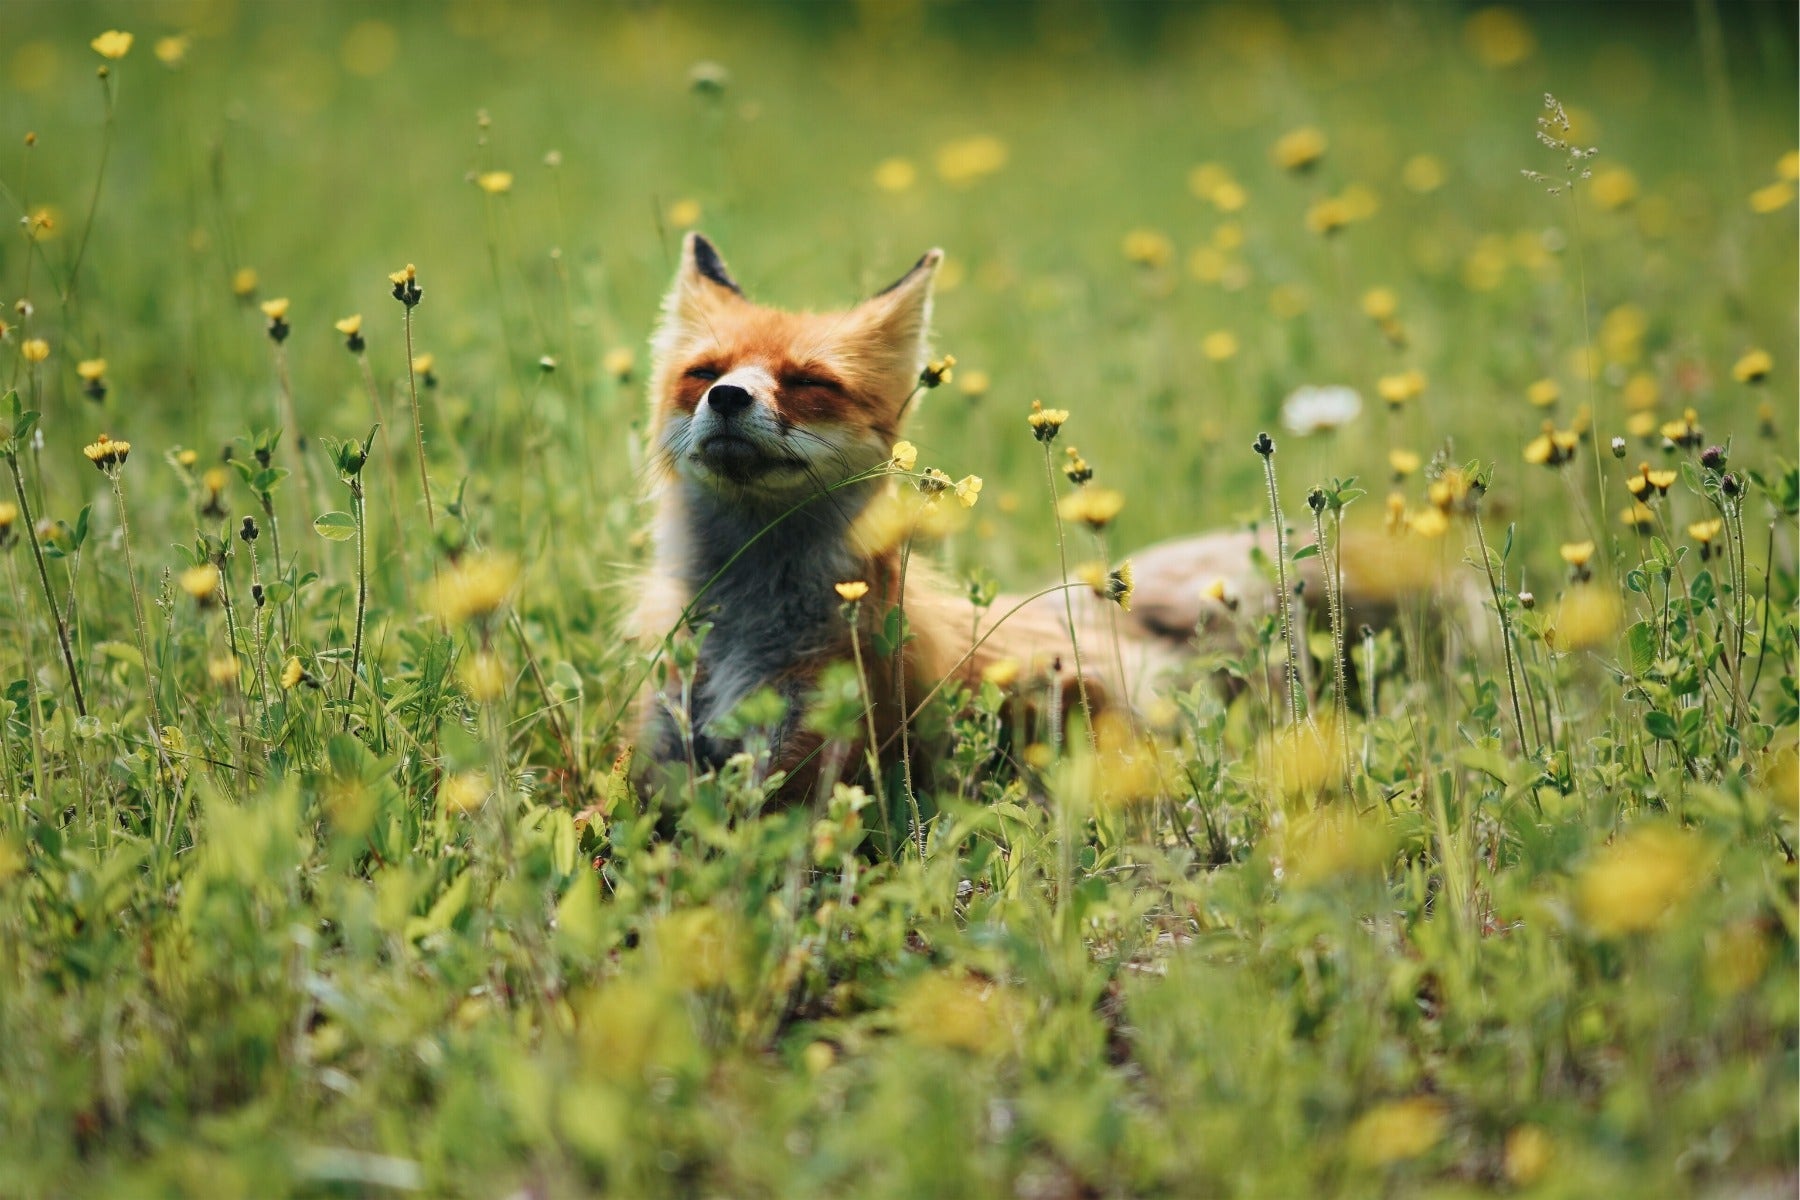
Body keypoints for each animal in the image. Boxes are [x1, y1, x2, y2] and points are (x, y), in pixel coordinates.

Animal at [633, 232, 1404, 802]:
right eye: (704, 374)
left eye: (809, 382)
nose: (728, 398)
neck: (748, 626)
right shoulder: (663, 741)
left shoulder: (820, 748)